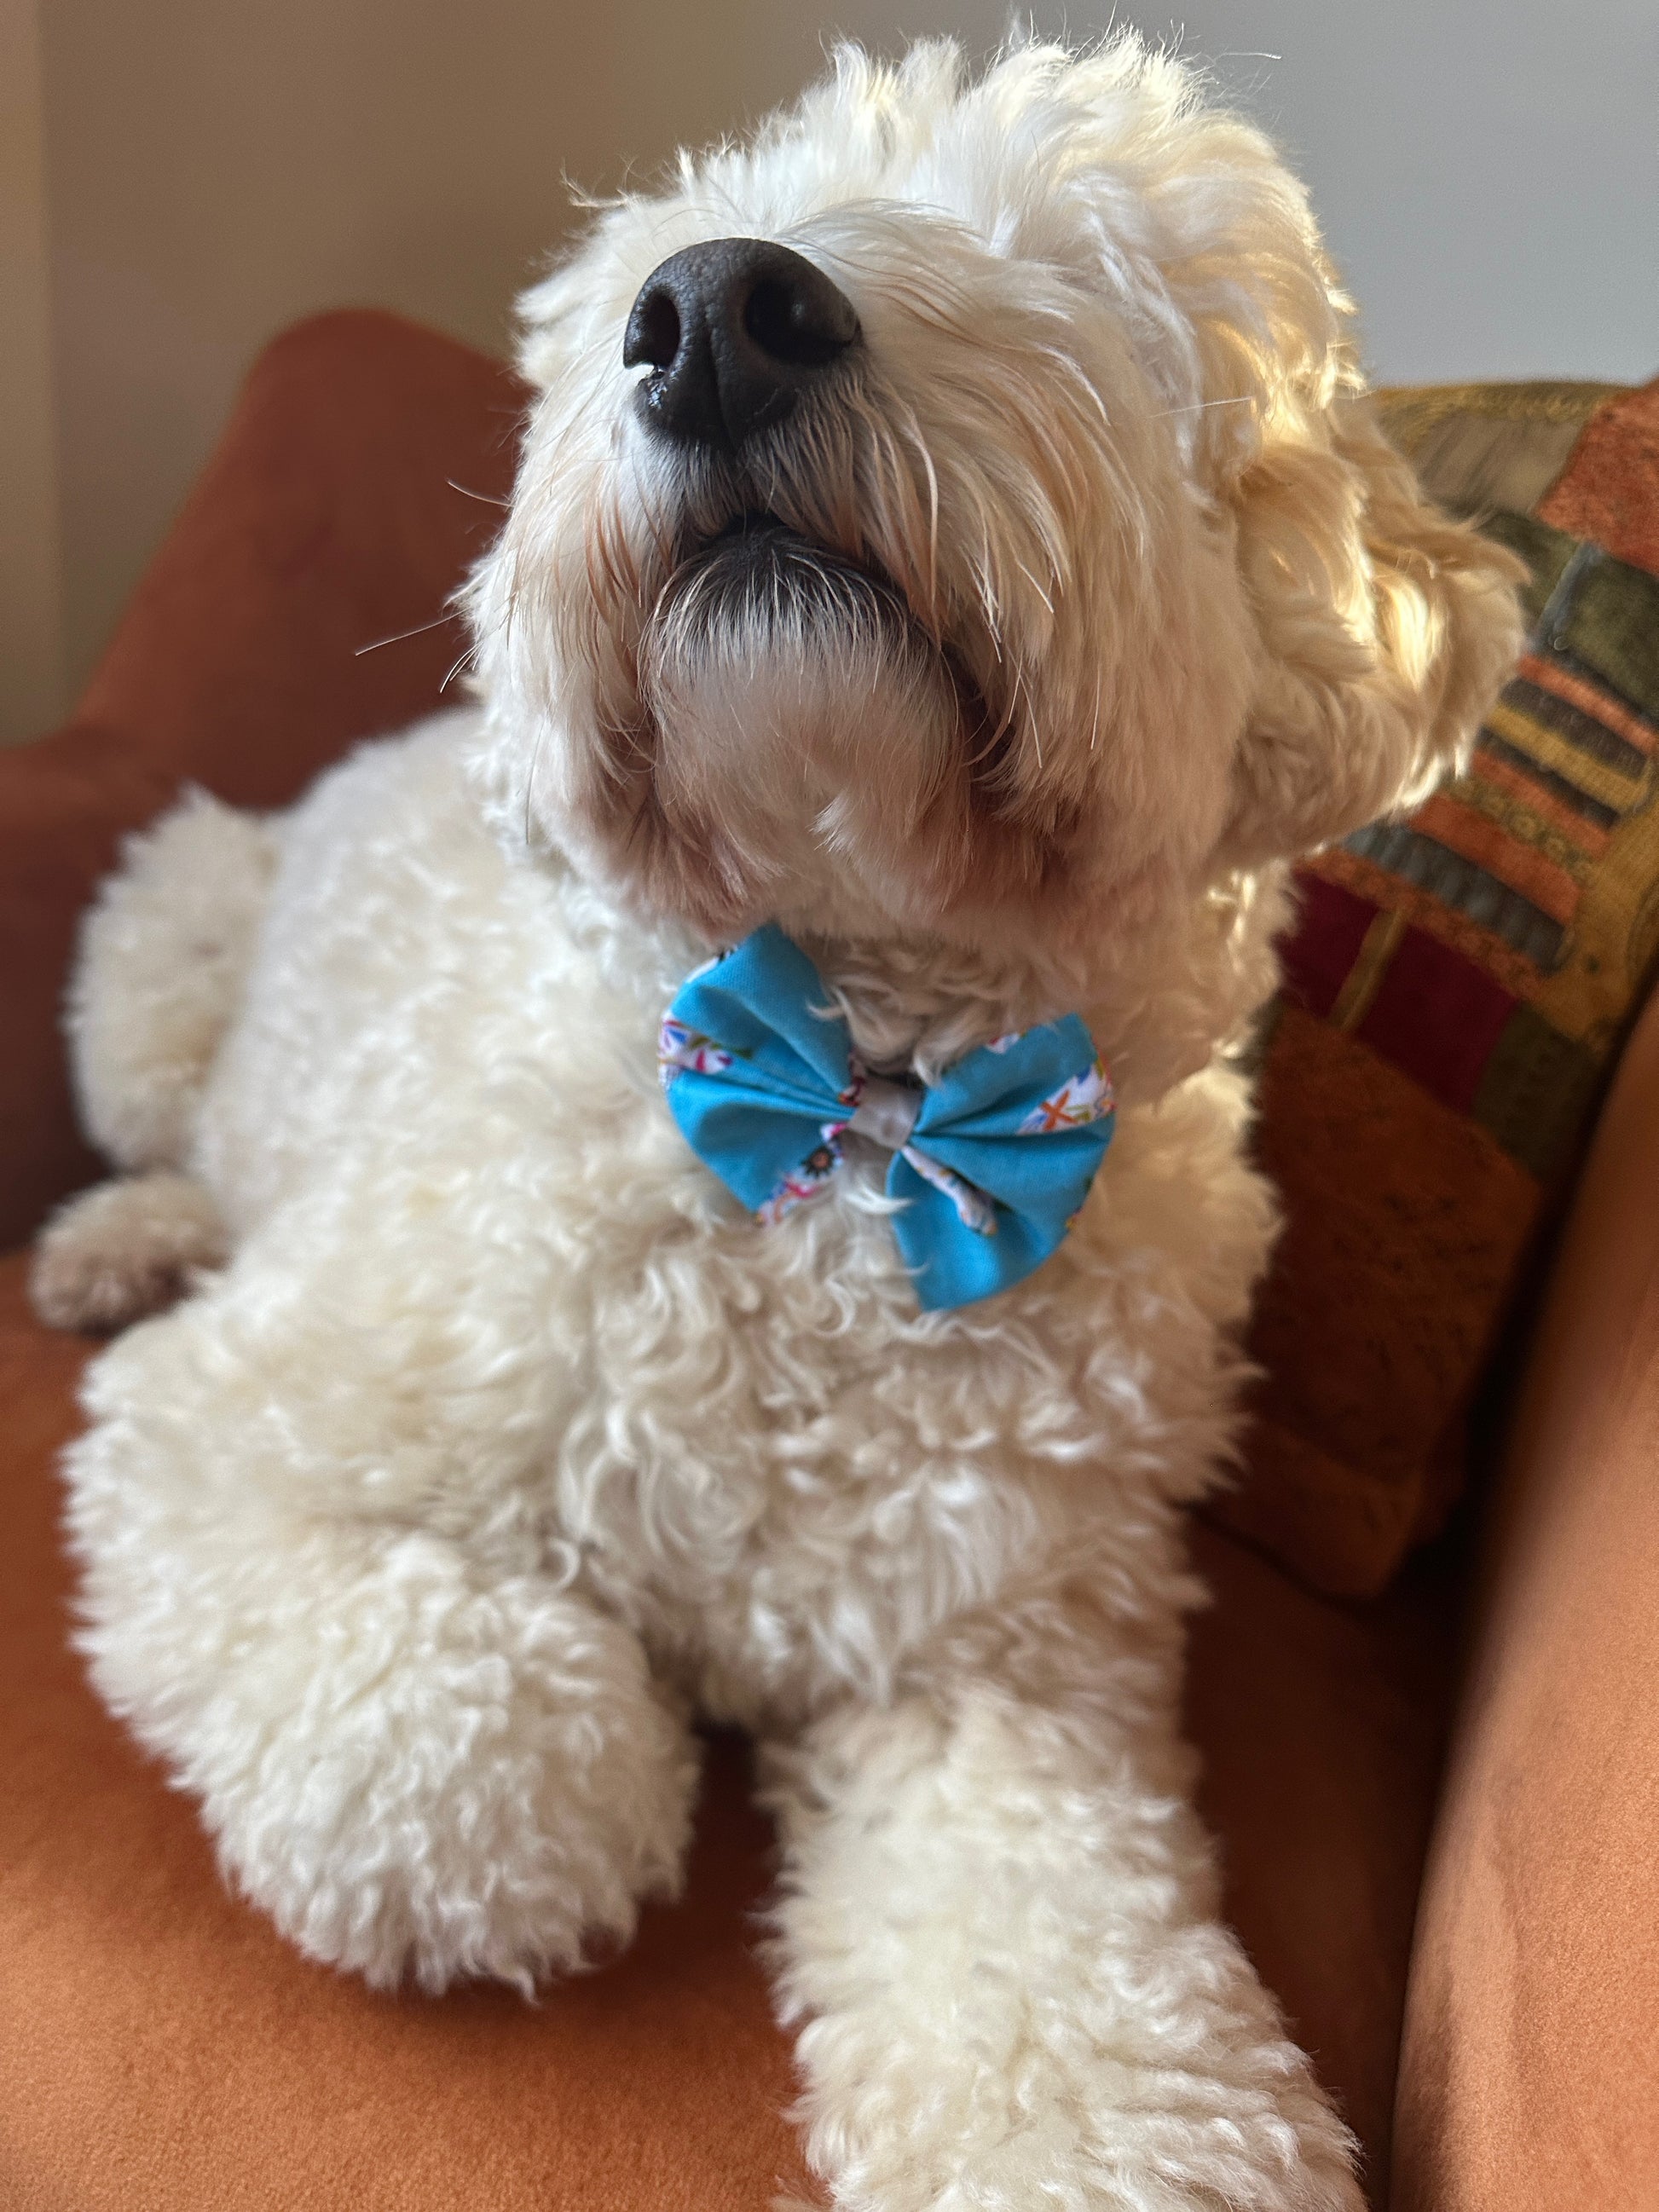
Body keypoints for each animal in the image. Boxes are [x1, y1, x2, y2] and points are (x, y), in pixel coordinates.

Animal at [32, 38, 1530, 2212]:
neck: (853, 1107)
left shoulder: (1002, 1671)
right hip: (164, 955)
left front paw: (1114, 2129)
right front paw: (573, 1783)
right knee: (161, 1136)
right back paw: (115, 1236)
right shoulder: (234, 1426)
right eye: (655, 269)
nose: (721, 314)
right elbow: (456, 1742)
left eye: (1065, 261)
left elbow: (1070, 1958)